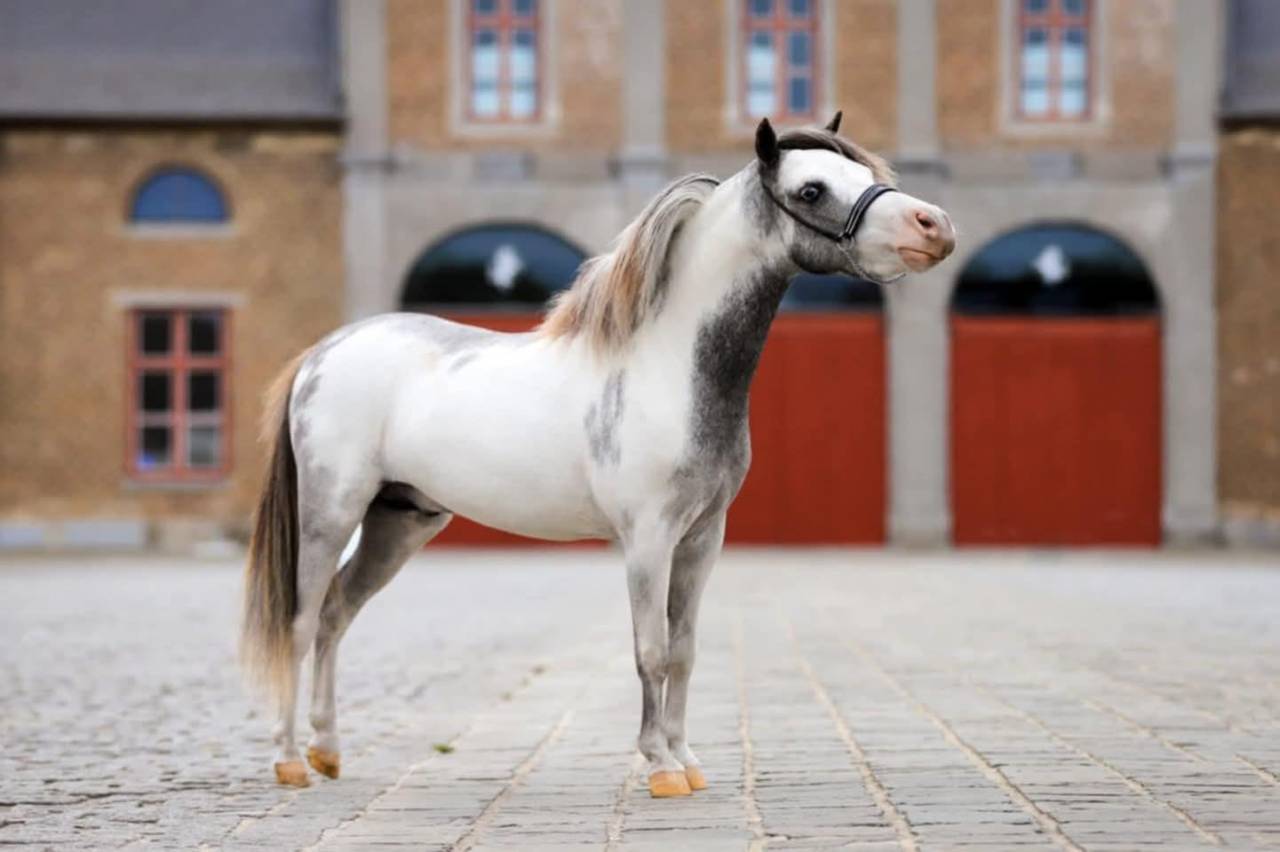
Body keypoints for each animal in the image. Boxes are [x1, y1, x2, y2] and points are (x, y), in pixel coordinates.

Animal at [240, 113, 956, 798]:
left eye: (861, 172)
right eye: (811, 189)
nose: (935, 227)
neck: (667, 367)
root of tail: (325, 351)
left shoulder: (703, 537)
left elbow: (685, 650)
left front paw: (688, 761)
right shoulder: (647, 538)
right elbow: (651, 650)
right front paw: (661, 768)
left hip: (400, 520)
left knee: (337, 613)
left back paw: (329, 752)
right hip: (331, 514)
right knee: (301, 622)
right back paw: (290, 763)